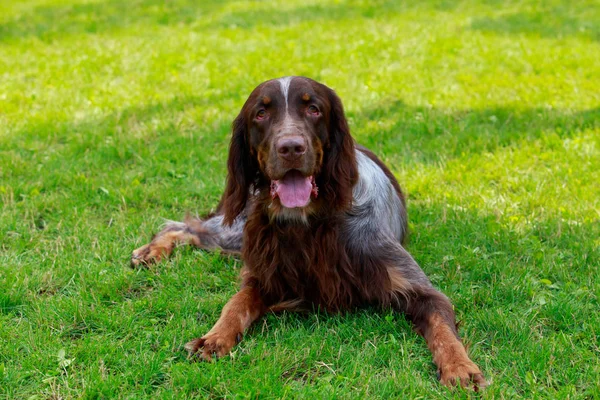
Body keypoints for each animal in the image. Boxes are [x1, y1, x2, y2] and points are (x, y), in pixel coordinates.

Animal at [131, 76, 488, 390]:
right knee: (185, 226)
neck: (309, 222)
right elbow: (235, 303)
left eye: (314, 109)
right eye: (261, 113)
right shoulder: (264, 274)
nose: (291, 147)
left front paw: (460, 368)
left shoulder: (420, 291)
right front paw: (215, 337)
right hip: (236, 232)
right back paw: (151, 252)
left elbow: (444, 331)